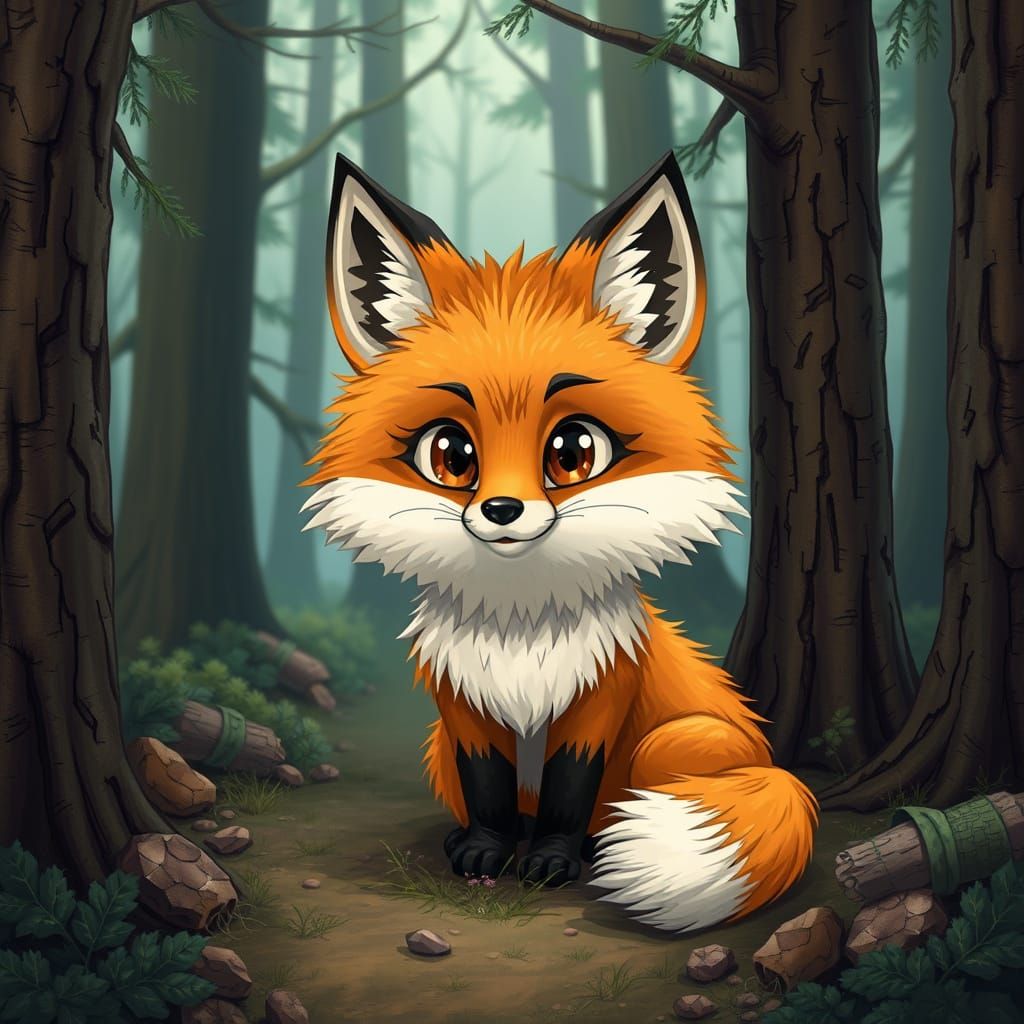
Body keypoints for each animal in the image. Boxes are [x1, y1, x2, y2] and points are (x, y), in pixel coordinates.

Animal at [302, 152, 817, 933]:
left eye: (574, 451)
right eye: (450, 454)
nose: (503, 510)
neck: (520, 630)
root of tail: (776, 767)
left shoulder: (600, 696)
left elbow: (570, 793)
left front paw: (552, 861)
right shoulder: (462, 707)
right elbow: (488, 791)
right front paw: (485, 850)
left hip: (675, 742)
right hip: (436, 749)